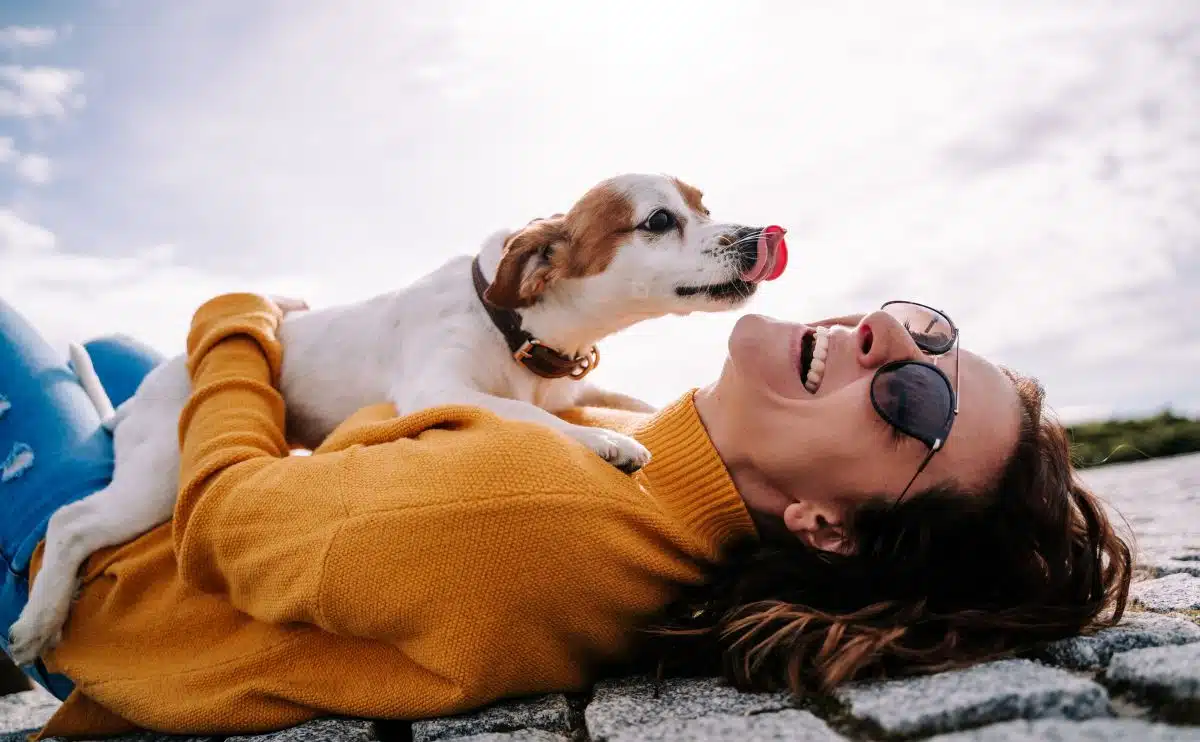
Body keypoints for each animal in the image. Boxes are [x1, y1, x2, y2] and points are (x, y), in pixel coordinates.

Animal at [7, 171, 787, 657]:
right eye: (658, 220)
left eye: (706, 206)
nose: (760, 235)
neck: (518, 325)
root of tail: (141, 395)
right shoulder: (441, 387)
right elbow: (534, 419)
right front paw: (604, 443)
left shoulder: (569, 385)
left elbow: (626, 404)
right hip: (159, 478)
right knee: (67, 522)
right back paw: (37, 623)